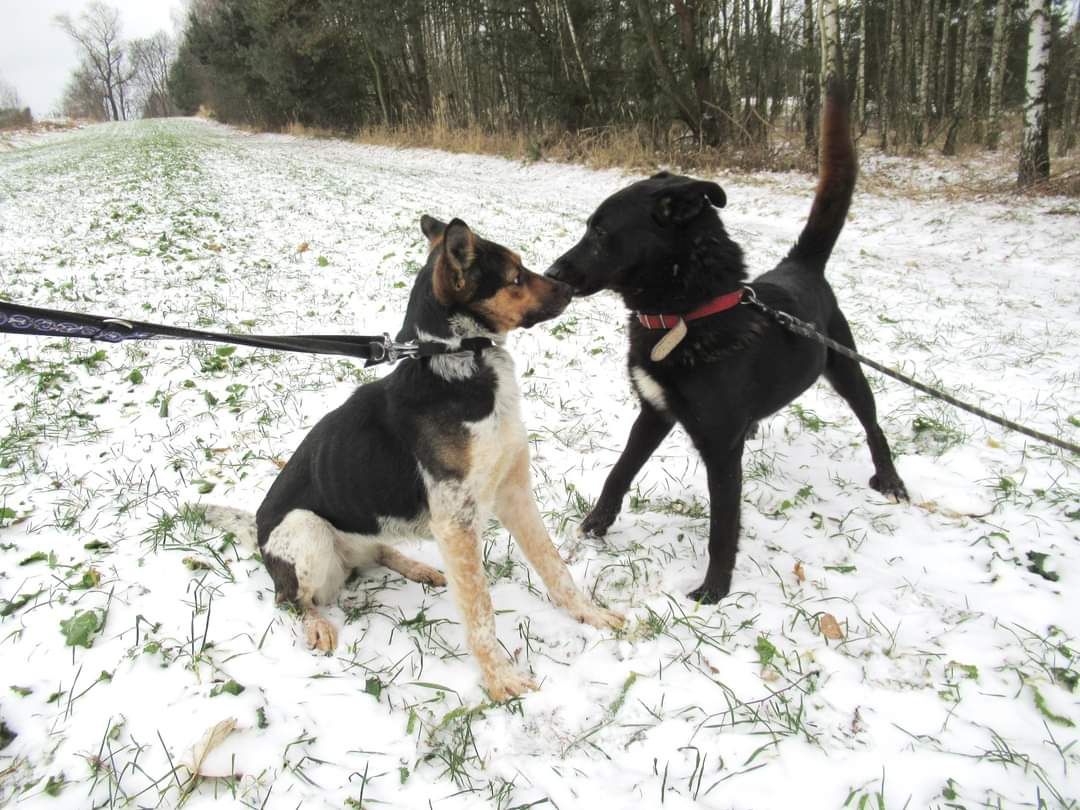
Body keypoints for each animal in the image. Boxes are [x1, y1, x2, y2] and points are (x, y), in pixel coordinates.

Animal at [208, 217, 626, 704]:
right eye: (516, 277)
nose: (569, 286)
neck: (459, 358)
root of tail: (258, 534)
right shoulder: (457, 521)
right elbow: (480, 611)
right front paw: (500, 679)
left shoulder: (514, 491)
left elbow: (554, 567)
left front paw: (590, 615)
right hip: (306, 529)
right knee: (292, 600)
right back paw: (316, 624)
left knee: (378, 550)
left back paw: (420, 568)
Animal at [544, 81, 907, 604]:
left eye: (600, 231)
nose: (551, 274)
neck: (686, 314)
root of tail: (801, 264)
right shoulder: (653, 412)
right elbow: (620, 471)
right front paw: (596, 524)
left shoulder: (719, 448)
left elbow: (723, 525)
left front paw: (714, 591)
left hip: (845, 366)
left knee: (873, 424)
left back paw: (891, 479)